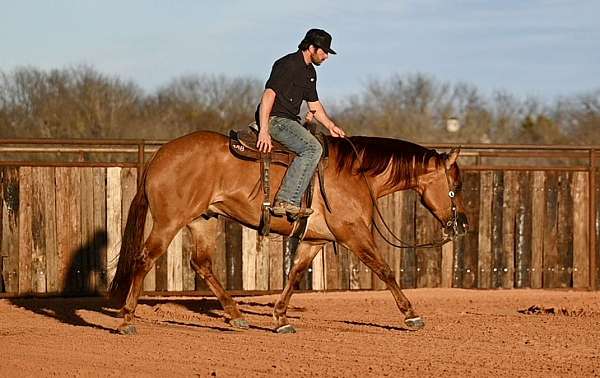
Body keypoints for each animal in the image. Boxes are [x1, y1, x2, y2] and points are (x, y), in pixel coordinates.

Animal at [111, 130, 468, 334]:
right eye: (457, 184)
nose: (462, 223)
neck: (357, 175)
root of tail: (161, 154)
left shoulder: (315, 240)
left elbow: (295, 275)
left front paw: (280, 318)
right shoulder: (354, 235)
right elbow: (384, 270)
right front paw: (411, 315)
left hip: (204, 220)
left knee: (202, 264)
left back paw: (236, 315)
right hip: (168, 222)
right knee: (144, 259)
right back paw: (127, 320)